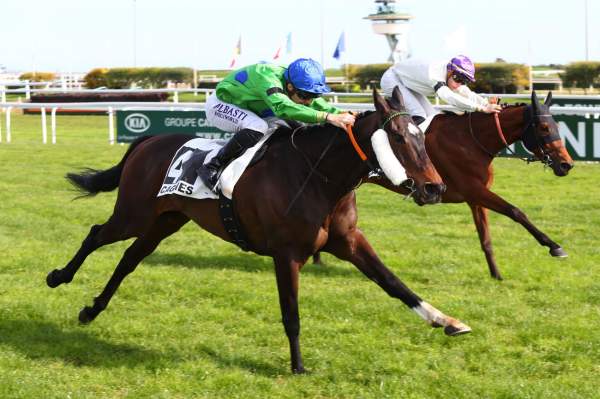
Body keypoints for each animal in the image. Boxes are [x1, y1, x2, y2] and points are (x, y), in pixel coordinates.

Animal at [45, 88, 468, 376]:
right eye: (397, 137)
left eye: (421, 136)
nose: (435, 188)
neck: (319, 177)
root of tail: (146, 141)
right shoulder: (287, 253)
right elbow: (291, 312)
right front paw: (298, 366)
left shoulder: (349, 241)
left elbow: (395, 284)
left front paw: (447, 321)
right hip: (134, 213)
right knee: (96, 234)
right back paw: (58, 277)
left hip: (166, 220)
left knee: (130, 258)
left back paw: (91, 310)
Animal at [314, 92, 572, 282]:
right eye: (544, 128)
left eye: (557, 125)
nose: (566, 164)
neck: (471, 140)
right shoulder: (475, 190)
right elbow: (516, 211)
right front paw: (554, 246)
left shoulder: (475, 198)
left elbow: (486, 239)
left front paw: (496, 273)